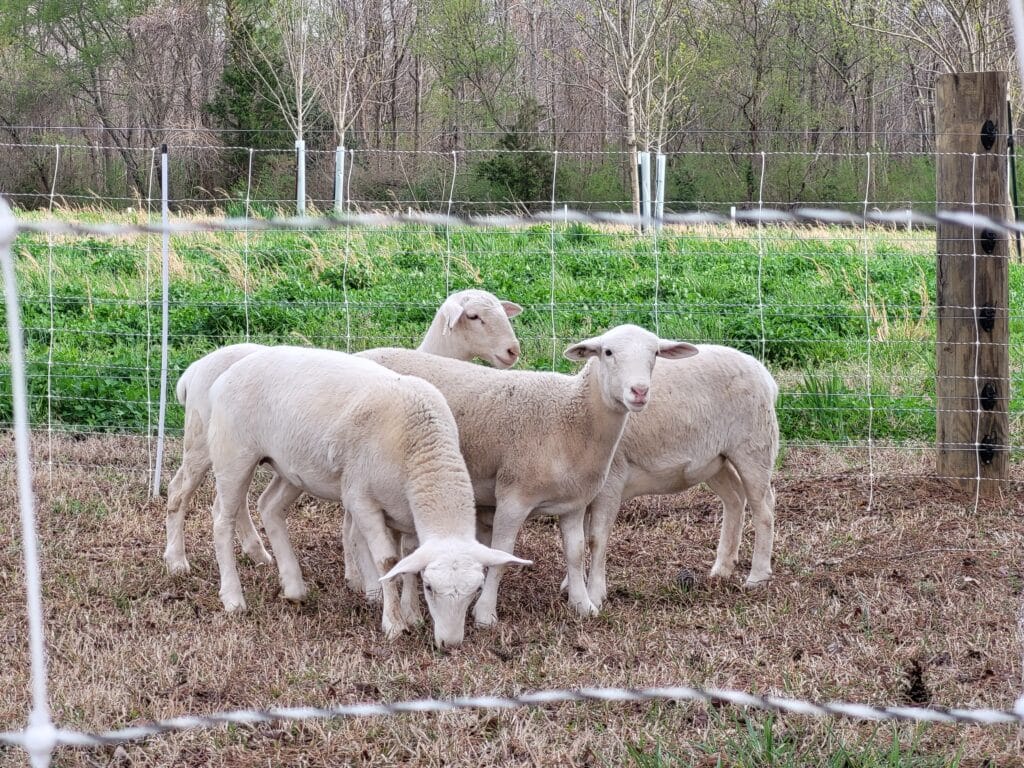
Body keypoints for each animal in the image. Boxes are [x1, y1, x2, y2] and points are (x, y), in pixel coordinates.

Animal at [162, 289, 523, 576]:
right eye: (474, 316)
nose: (513, 351)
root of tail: (193, 370)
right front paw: (358, 573)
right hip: (202, 444)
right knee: (179, 492)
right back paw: (176, 560)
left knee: (231, 503)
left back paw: (258, 553)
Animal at [205, 346, 530, 647]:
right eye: (429, 588)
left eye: (475, 589)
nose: (450, 644)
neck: (421, 446)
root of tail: (232, 368)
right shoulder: (361, 500)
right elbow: (387, 561)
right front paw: (394, 623)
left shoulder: (408, 512)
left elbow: (408, 558)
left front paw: (412, 614)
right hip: (234, 454)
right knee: (222, 521)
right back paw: (233, 598)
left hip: (292, 467)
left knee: (270, 507)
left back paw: (294, 588)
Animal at [359, 324, 698, 626]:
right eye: (608, 352)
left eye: (655, 353)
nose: (639, 391)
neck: (571, 421)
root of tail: (361, 353)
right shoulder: (513, 496)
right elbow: (503, 552)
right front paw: (485, 614)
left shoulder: (574, 503)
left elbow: (575, 552)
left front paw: (582, 605)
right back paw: (371, 588)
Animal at [580, 344, 779, 609]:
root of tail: (764, 374)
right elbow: (579, 539)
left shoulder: (611, 481)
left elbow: (596, 538)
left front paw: (594, 596)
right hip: (714, 459)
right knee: (735, 498)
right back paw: (722, 568)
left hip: (754, 445)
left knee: (764, 508)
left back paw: (757, 577)